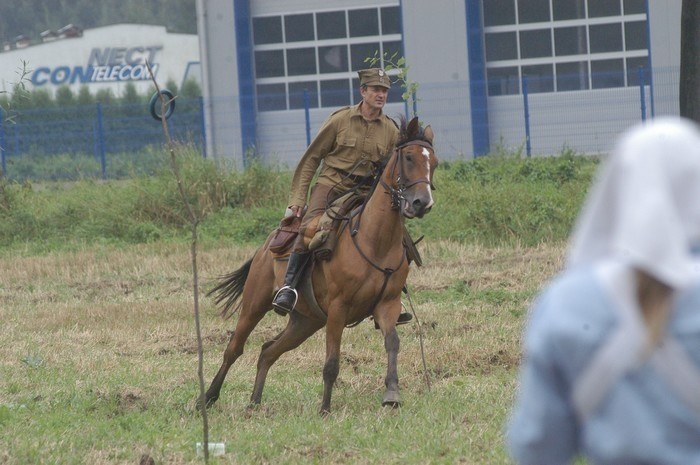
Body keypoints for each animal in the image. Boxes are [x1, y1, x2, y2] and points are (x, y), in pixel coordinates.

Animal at [202, 116, 438, 414]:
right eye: (408, 157)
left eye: (434, 162)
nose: (422, 203)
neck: (374, 240)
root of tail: (264, 247)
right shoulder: (338, 309)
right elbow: (331, 363)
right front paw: (325, 408)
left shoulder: (388, 305)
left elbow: (392, 343)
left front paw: (392, 393)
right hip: (255, 305)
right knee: (234, 348)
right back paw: (206, 398)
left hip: (305, 321)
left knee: (268, 351)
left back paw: (254, 403)